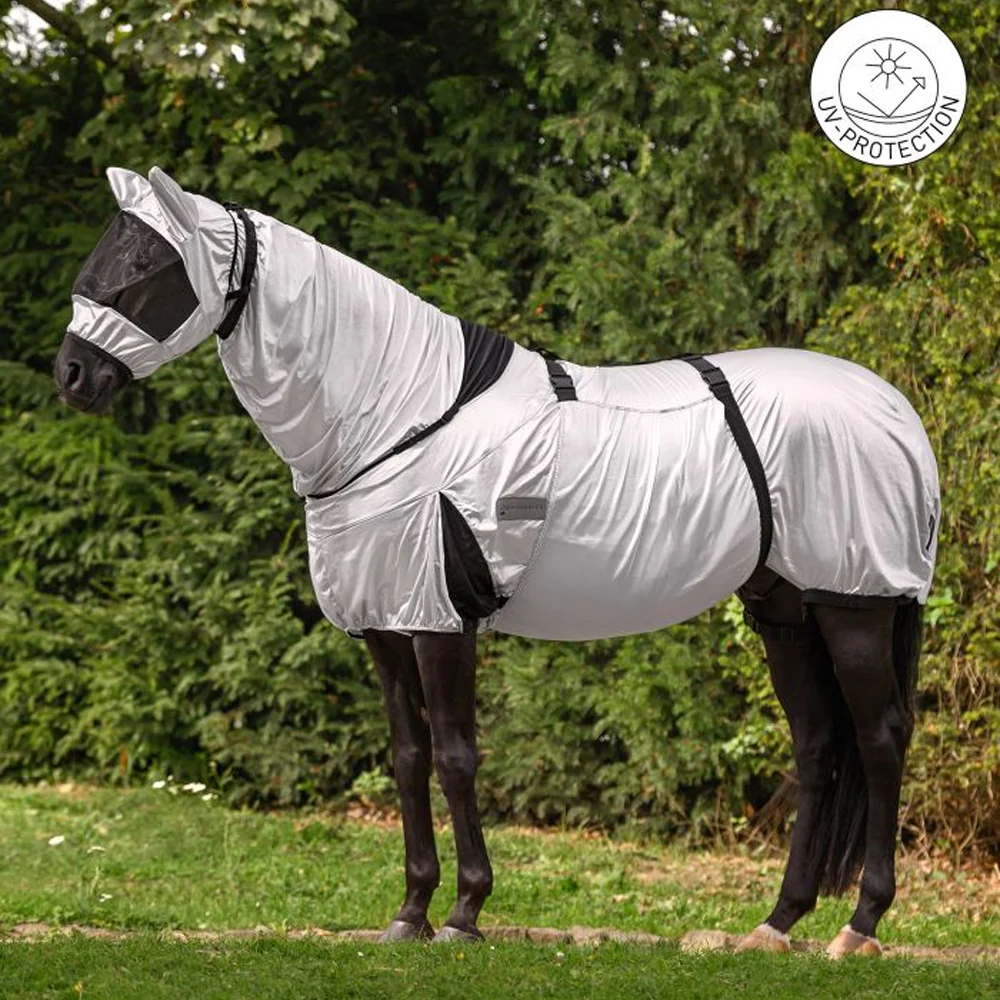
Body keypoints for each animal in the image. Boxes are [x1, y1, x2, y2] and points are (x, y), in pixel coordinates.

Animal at [54, 167, 939, 958]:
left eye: (150, 267)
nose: (71, 374)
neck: (399, 417)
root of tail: (894, 410)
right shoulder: (386, 624)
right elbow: (409, 759)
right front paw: (410, 912)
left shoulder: (442, 620)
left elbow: (456, 757)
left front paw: (464, 912)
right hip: (785, 609)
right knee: (818, 745)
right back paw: (777, 924)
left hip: (855, 603)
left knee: (880, 737)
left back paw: (860, 925)